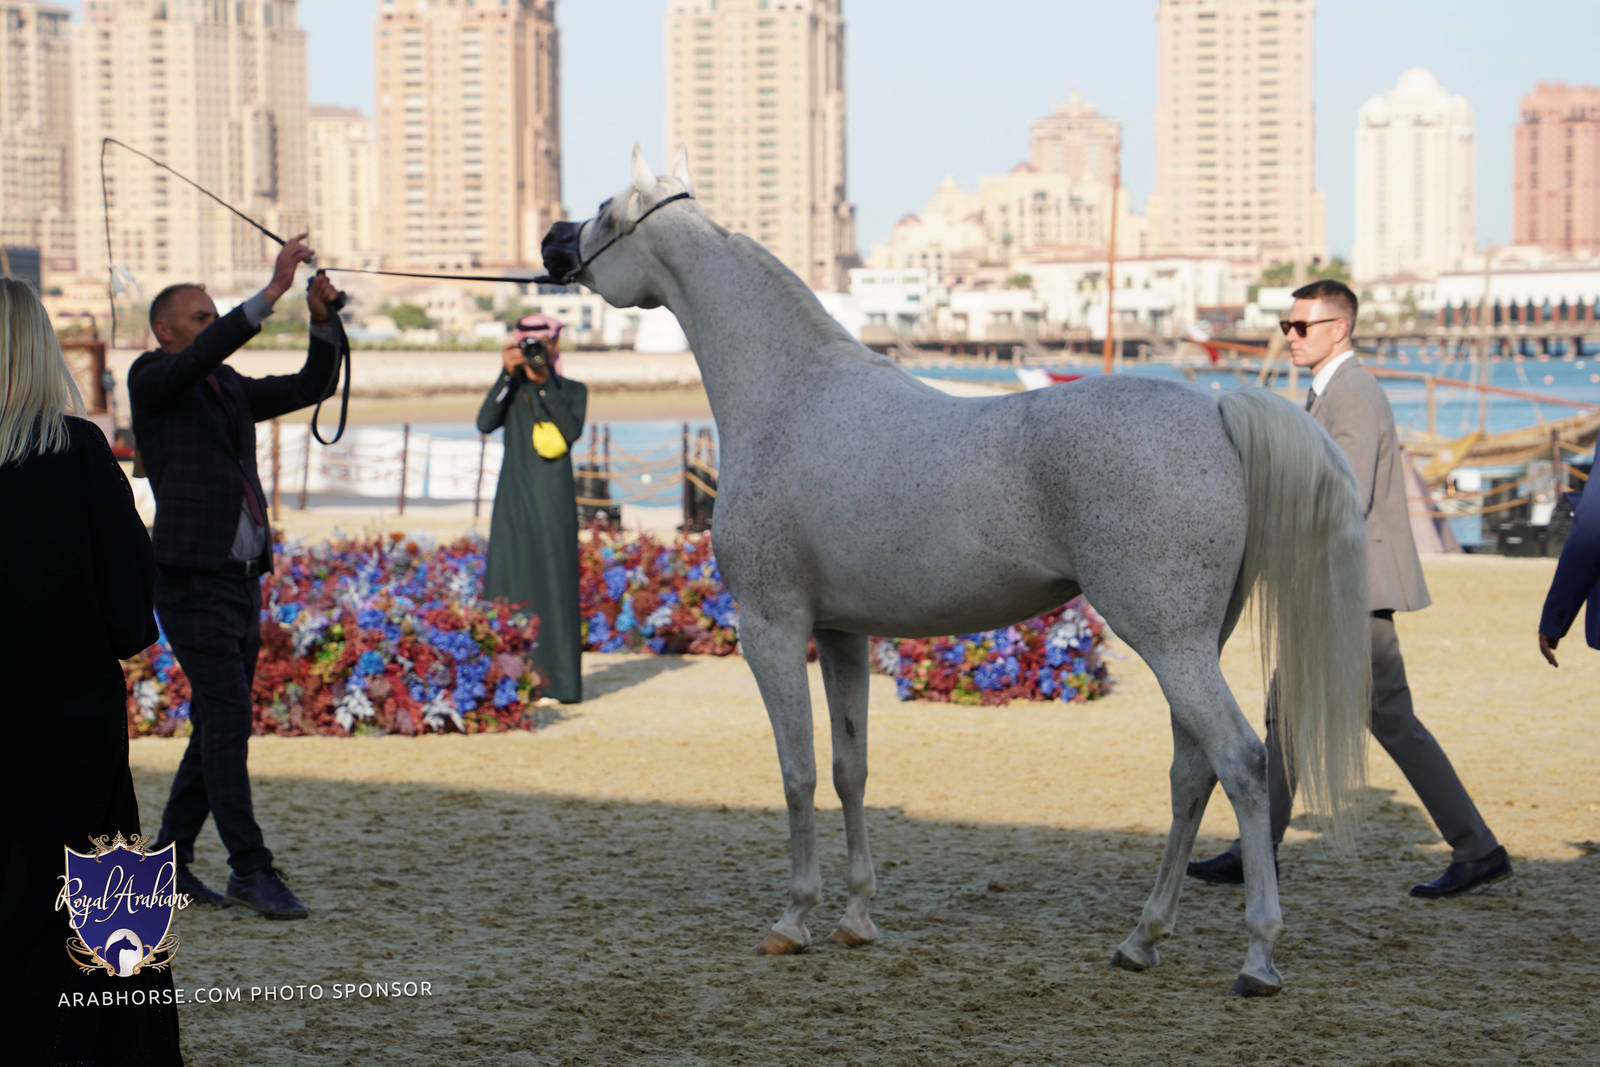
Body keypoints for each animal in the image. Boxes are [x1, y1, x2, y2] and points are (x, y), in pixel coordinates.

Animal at [537, 145, 1371, 996]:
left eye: (604, 212)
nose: (552, 245)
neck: (792, 394)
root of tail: (1216, 412)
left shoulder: (771, 626)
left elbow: (798, 770)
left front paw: (794, 918)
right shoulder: (840, 633)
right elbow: (850, 766)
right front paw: (856, 916)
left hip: (1167, 639)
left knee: (1241, 761)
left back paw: (1258, 955)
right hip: (1195, 640)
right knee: (1191, 772)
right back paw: (1142, 937)